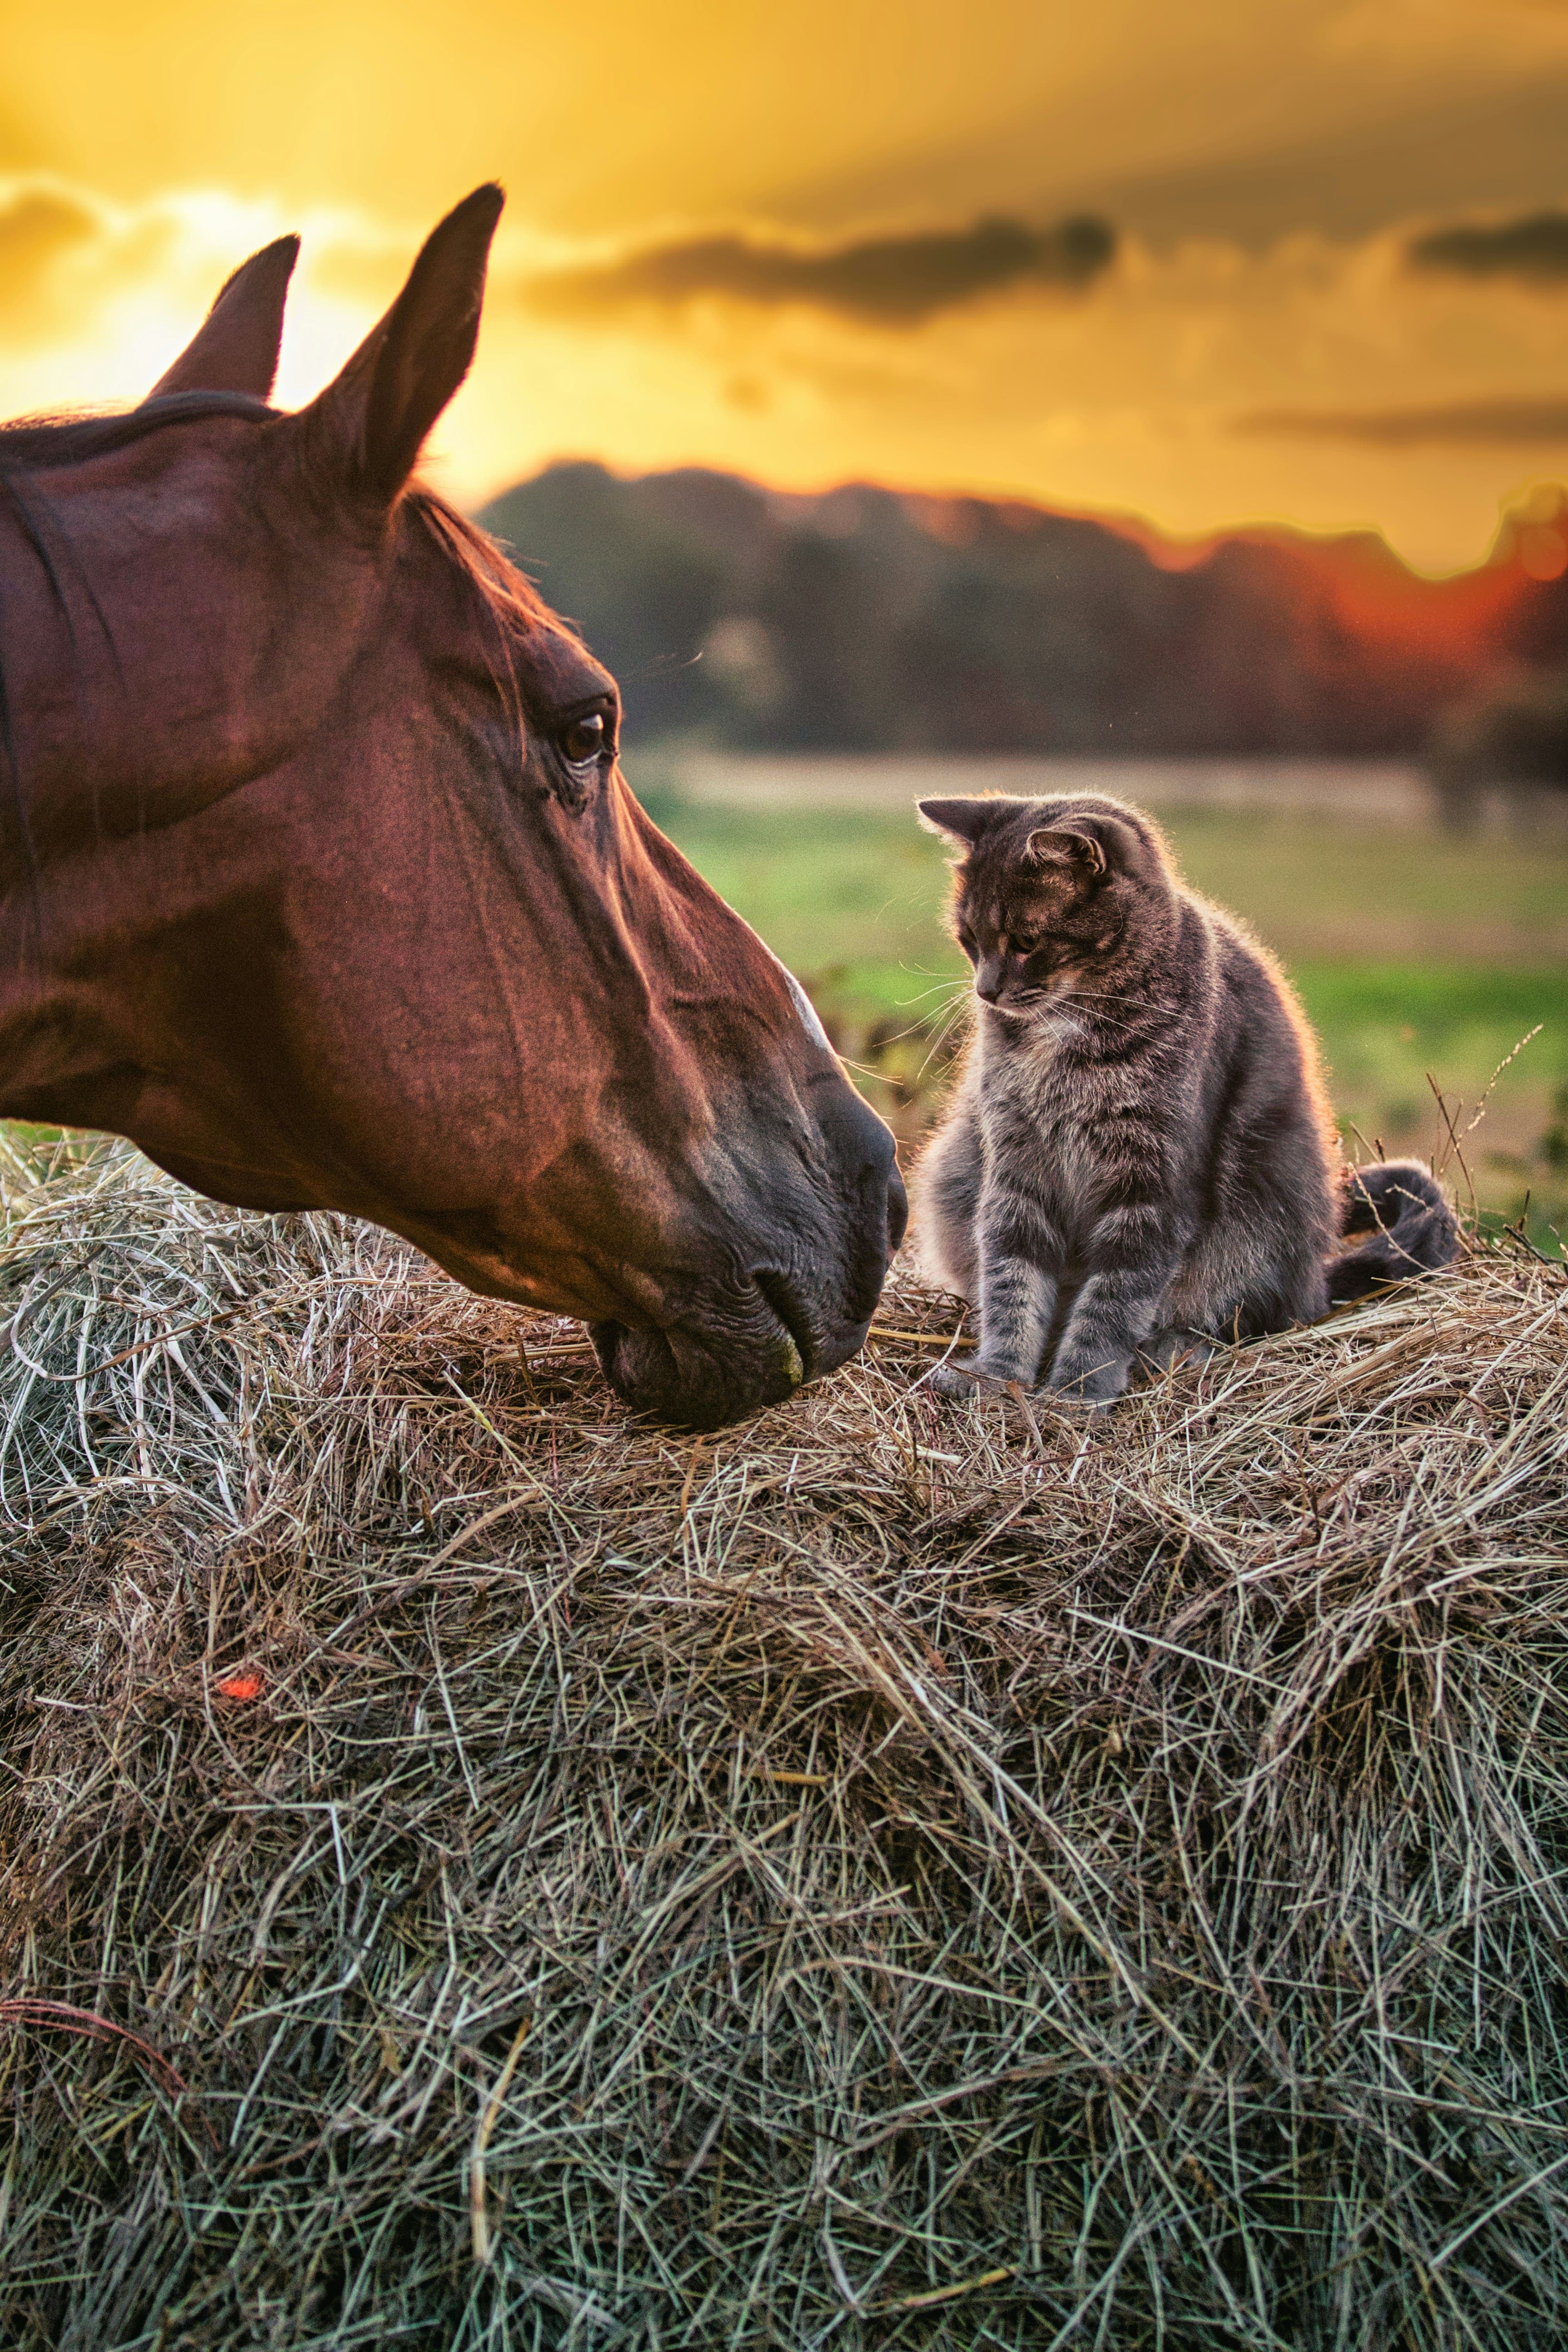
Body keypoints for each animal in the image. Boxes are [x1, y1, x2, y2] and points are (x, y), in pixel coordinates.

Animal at [912, 799, 1467, 1401]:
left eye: (1026, 942)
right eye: (969, 939)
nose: (985, 990)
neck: (1069, 1032)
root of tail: (1317, 1283)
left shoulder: (1152, 1186)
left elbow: (1113, 1299)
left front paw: (1079, 1391)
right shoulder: (1016, 1167)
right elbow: (1012, 1281)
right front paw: (998, 1375)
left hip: (1262, 1216)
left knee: (1246, 1313)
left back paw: (1176, 1346)